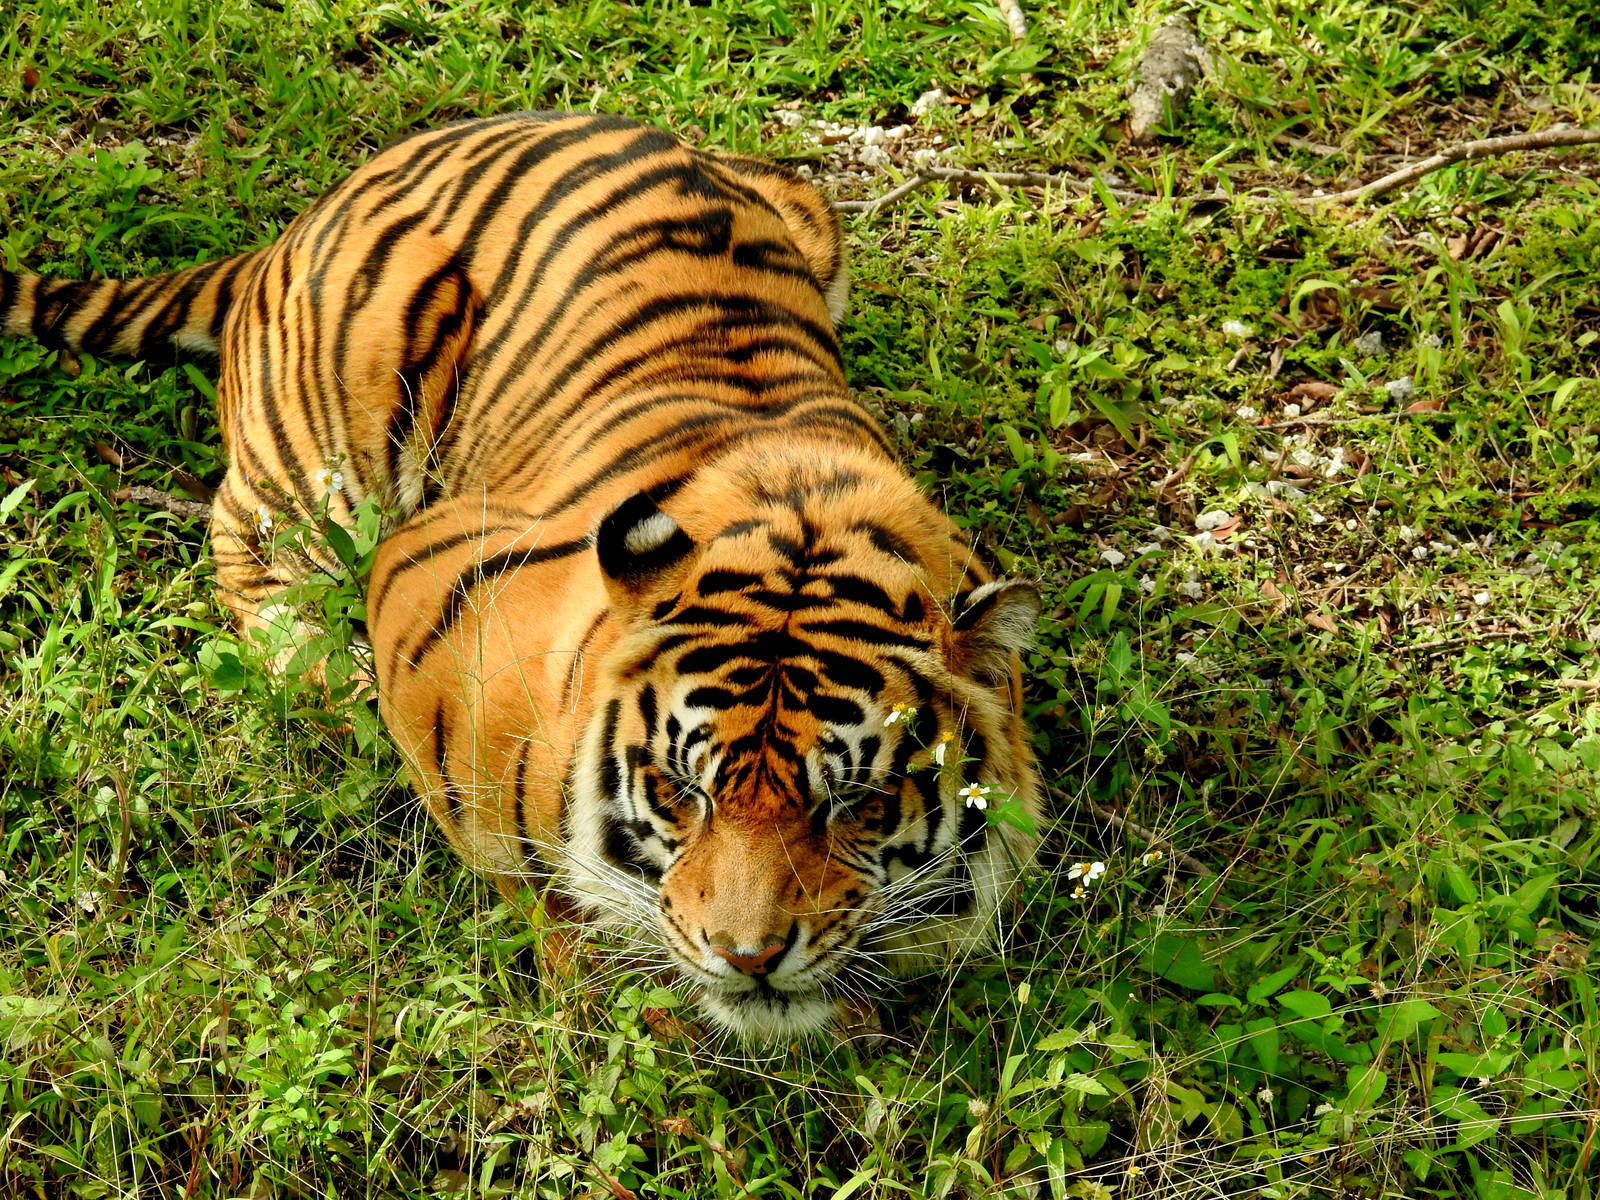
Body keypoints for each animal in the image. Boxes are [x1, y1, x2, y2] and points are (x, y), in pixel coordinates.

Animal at [1, 111, 1042, 1039]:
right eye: (684, 793)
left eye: (854, 807)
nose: (746, 957)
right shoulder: (426, 581)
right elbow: (513, 846)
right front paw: (594, 985)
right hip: (338, 420)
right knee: (246, 535)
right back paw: (318, 670)